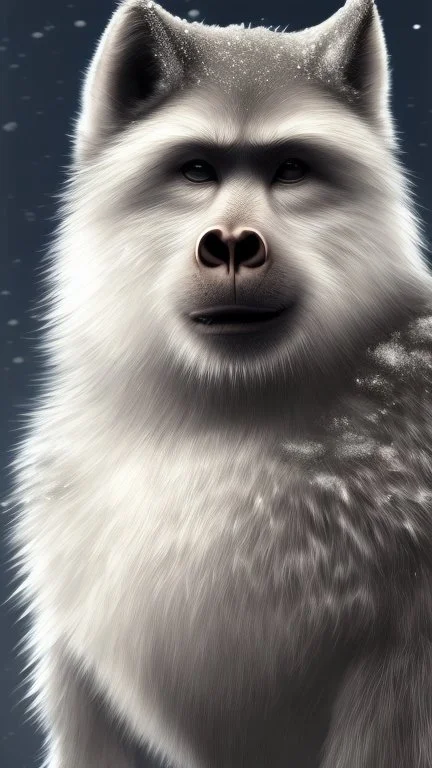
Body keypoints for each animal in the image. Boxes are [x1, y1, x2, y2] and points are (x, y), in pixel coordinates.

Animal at [6, 0, 432, 766]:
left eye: (291, 169)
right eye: (196, 170)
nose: (233, 243)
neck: (214, 430)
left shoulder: (405, 658)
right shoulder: (81, 669)